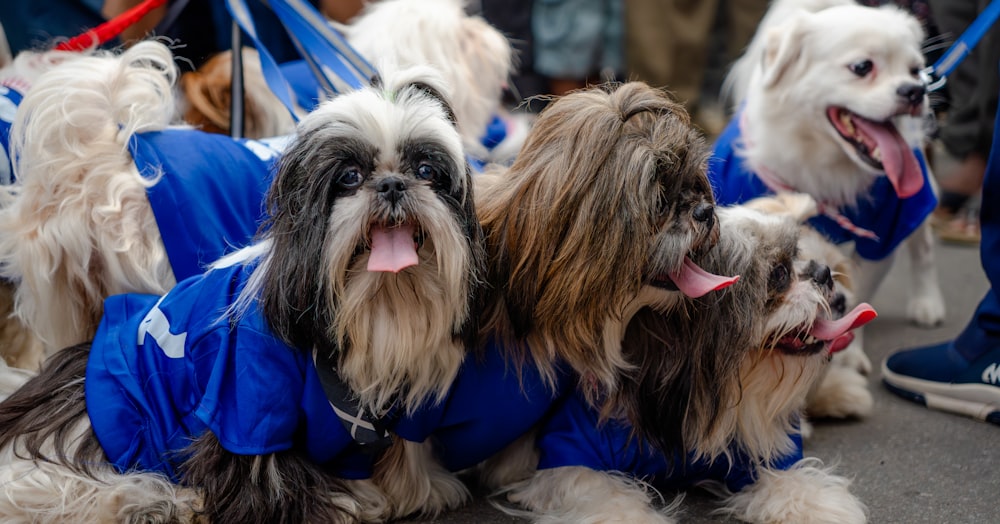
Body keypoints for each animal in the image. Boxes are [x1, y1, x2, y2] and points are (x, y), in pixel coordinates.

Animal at [0, 65, 486, 524]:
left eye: (426, 171)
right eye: (349, 177)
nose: (391, 184)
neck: (375, 301)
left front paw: (412, 489)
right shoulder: (248, 396)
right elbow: (264, 471)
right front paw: (339, 505)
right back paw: (143, 500)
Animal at [500, 205, 876, 524]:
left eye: (798, 255)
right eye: (780, 273)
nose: (824, 273)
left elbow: (790, 480)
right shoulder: (572, 452)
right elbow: (607, 496)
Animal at [712, 0, 936, 380]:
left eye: (916, 69)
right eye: (862, 67)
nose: (915, 90)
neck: (821, 166)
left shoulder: (884, 235)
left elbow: (859, 291)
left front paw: (847, 351)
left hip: (917, 198)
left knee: (924, 249)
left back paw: (927, 303)